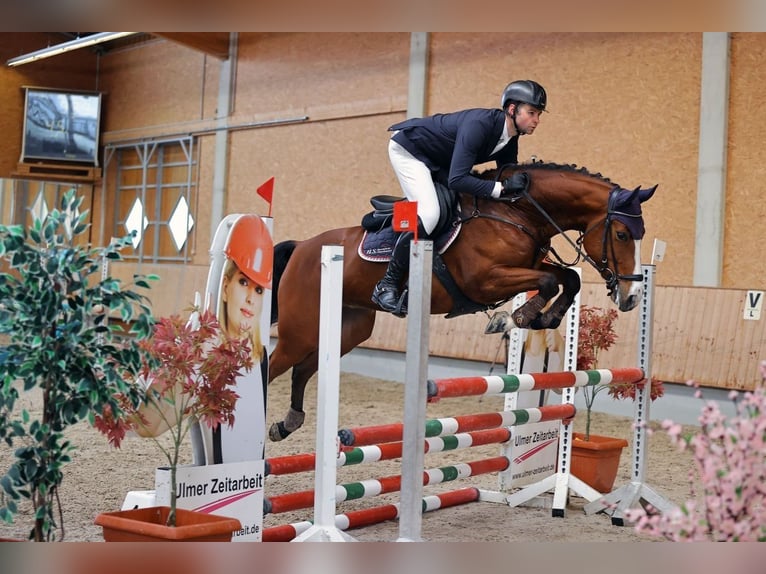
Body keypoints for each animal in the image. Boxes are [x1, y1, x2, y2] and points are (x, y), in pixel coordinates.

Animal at [268, 162, 656, 440]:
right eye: (622, 234)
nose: (632, 297)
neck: (517, 213)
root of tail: (302, 247)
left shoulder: (527, 266)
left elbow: (568, 278)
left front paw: (544, 319)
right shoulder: (485, 281)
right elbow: (548, 281)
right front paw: (513, 318)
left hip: (349, 329)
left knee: (302, 369)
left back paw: (287, 424)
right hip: (298, 332)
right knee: (273, 367)